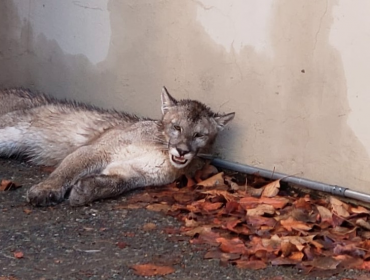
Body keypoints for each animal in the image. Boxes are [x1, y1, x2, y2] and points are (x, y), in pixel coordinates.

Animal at [0, 87, 234, 206]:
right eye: (177, 127)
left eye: (199, 135)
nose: (183, 150)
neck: (160, 150)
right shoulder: (95, 150)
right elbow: (65, 172)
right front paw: (46, 189)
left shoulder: (132, 172)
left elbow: (116, 185)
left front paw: (86, 190)